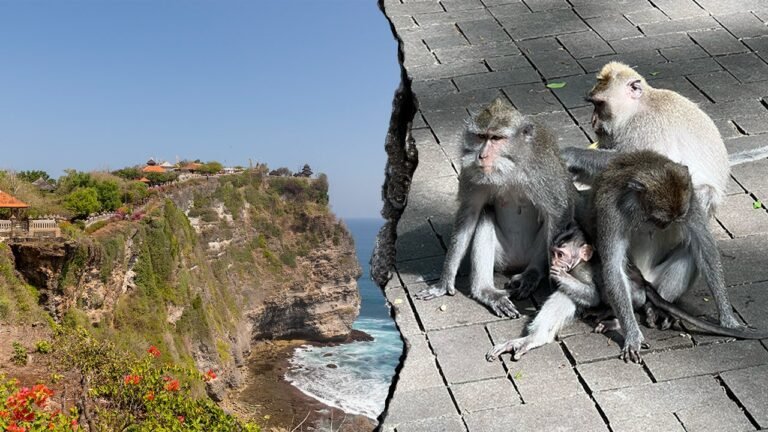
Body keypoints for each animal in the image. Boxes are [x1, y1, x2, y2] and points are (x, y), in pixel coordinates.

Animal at [414, 98, 578, 318]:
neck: (510, 168)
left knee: (547, 223)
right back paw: (485, 291)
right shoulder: (472, 174)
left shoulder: (543, 172)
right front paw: (444, 281)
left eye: (496, 138)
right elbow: (470, 213)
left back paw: (532, 273)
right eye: (482, 137)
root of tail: (516, 263)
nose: (482, 156)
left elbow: (558, 211)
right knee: (485, 214)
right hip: (502, 258)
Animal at [486, 220, 767, 362]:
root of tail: (646, 283)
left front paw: (561, 276)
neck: (581, 263)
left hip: (637, 292)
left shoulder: (589, 270)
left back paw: (615, 320)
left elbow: (595, 293)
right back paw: (531, 339)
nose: (553, 262)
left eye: (561, 254)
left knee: (621, 291)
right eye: (554, 253)